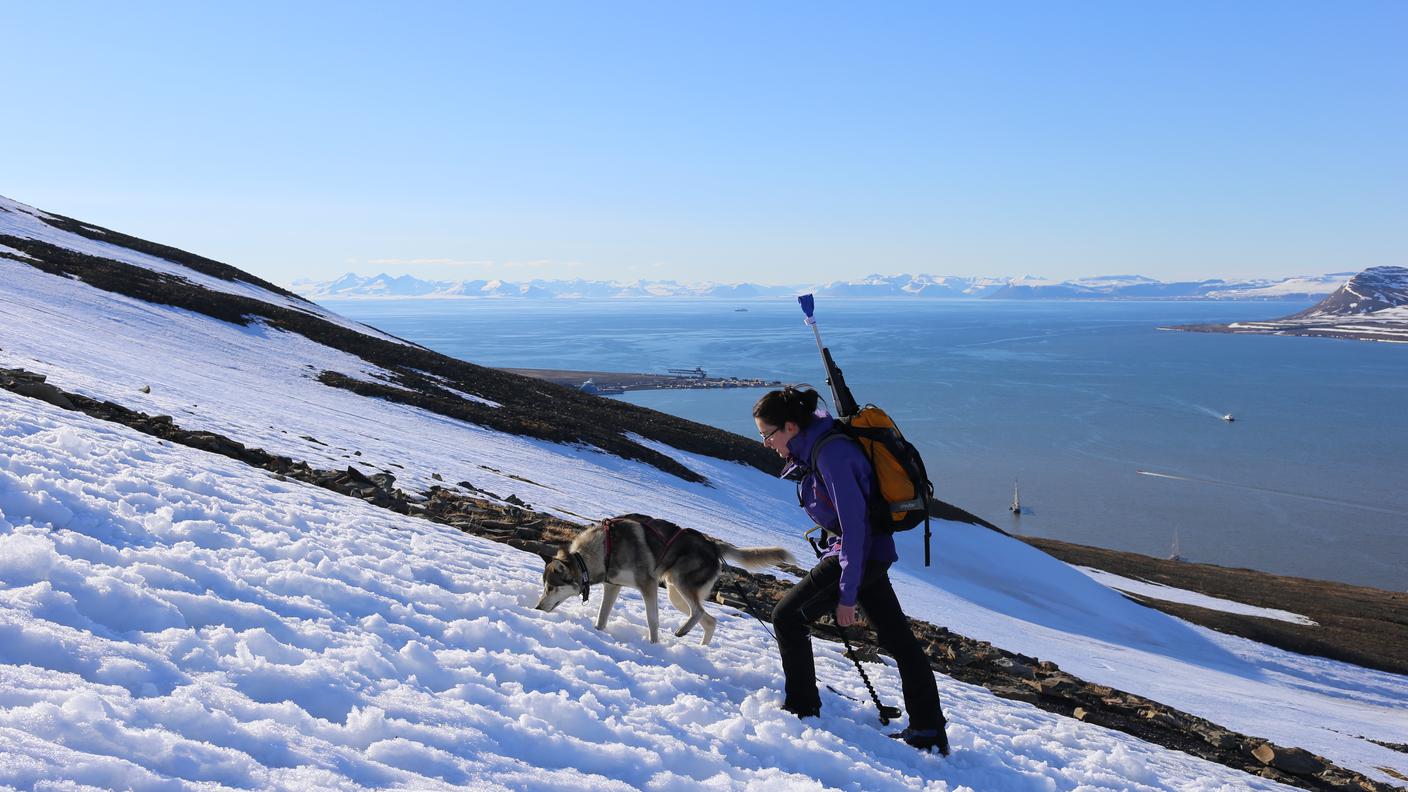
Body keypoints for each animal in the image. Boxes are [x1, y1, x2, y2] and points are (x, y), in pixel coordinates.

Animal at [532, 512, 794, 642]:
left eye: (551, 588)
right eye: (544, 586)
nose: (537, 607)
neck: (603, 548)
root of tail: (713, 546)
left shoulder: (647, 585)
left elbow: (652, 621)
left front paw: (654, 646)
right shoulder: (612, 585)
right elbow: (602, 617)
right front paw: (597, 632)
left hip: (680, 583)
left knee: (699, 611)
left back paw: (682, 631)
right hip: (674, 594)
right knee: (709, 620)